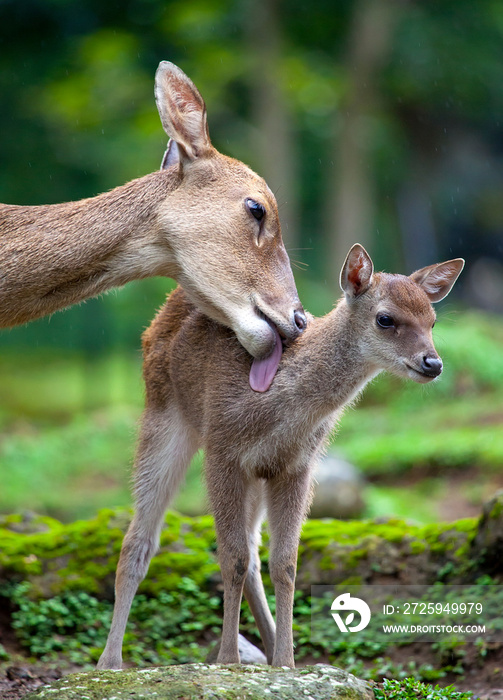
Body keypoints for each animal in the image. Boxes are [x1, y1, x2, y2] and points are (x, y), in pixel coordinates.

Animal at [98, 243, 464, 668]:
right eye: (385, 318)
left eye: (432, 320)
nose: (433, 363)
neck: (280, 411)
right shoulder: (222, 451)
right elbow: (231, 557)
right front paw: (228, 659)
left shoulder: (296, 466)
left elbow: (285, 563)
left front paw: (287, 661)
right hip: (162, 417)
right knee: (139, 541)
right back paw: (109, 661)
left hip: (256, 474)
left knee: (255, 555)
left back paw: (272, 646)